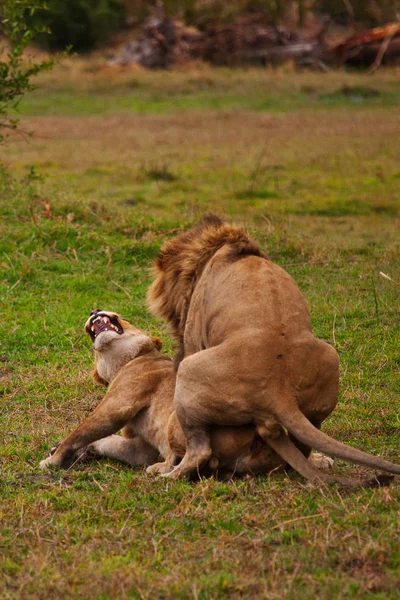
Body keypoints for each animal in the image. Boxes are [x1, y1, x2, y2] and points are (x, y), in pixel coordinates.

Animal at [148, 216, 400, 482]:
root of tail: (279, 392)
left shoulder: (192, 338)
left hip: (189, 371)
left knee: (199, 450)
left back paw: (167, 476)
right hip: (329, 359)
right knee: (303, 444)